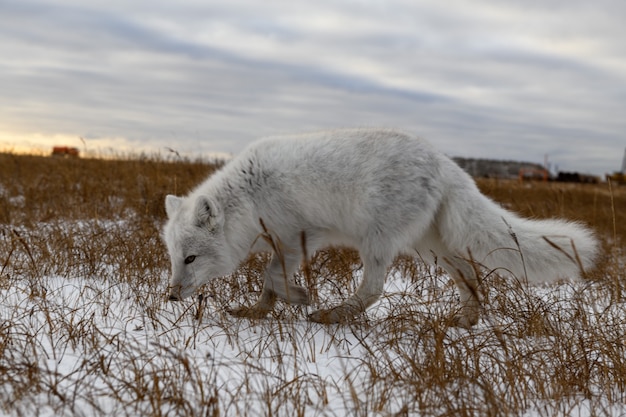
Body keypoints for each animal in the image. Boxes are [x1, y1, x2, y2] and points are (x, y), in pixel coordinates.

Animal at [163, 128, 596, 326]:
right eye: (173, 259)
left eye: (191, 258)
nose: (170, 296)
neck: (251, 196)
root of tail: (445, 162)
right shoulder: (283, 244)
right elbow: (268, 285)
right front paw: (257, 312)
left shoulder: (302, 236)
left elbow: (271, 276)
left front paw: (300, 298)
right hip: (428, 249)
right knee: (470, 274)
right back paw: (466, 321)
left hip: (378, 243)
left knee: (373, 290)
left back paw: (332, 315)